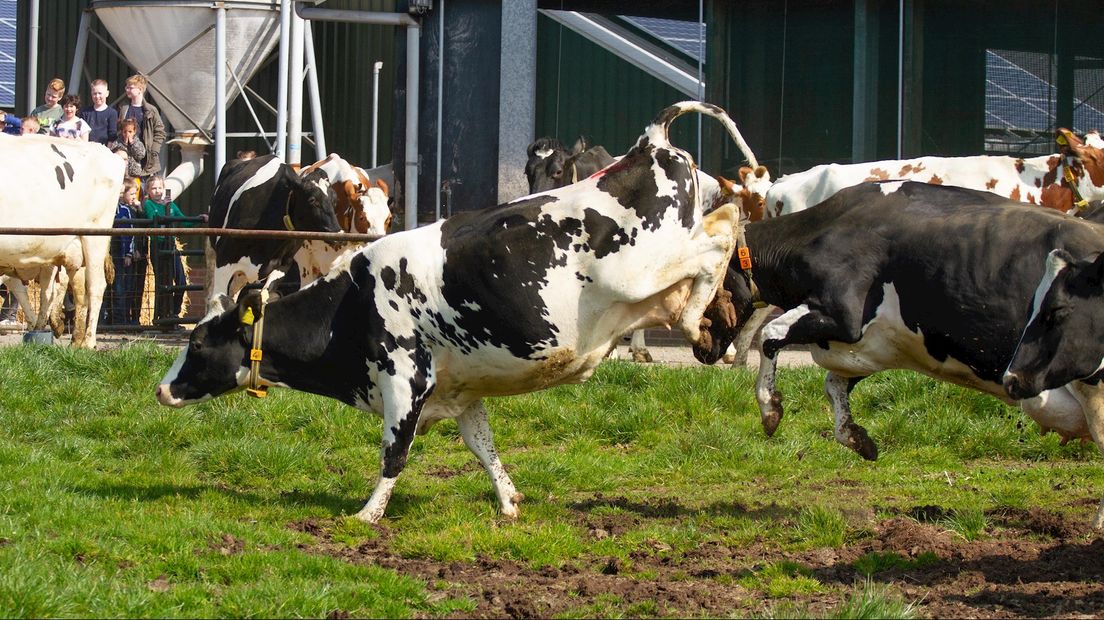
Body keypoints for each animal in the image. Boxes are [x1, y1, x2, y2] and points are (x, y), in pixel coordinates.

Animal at [204, 152, 337, 302]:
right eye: (312, 200)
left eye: (335, 200)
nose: (336, 231)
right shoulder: (223, 263)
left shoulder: (283, 265)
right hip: (212, 252)